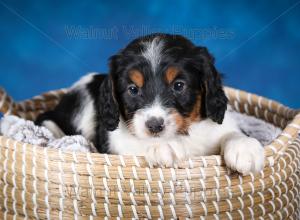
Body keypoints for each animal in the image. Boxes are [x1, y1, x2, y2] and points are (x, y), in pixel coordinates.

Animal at [36, 33, 264, 174]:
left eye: (179, 86)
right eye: (133, 89)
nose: (155, 126)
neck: (186, 133)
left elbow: (233, 132)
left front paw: (245, 148)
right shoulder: (116, 141)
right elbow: (139, 141)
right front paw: (164, 146)